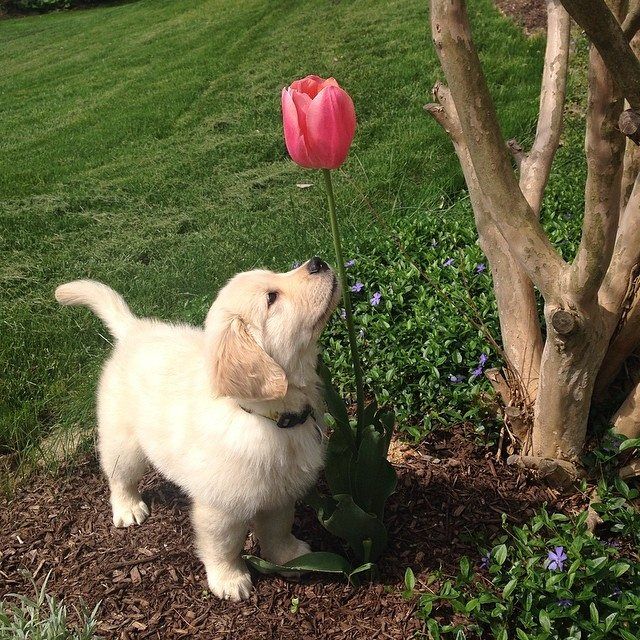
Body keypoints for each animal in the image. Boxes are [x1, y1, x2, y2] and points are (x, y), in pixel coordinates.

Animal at [55, 256, 340, 600]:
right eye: (271, 298)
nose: (318, 262)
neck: (266, 417)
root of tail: (134, 330)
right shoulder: (221, 508)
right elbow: (223, 546)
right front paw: (229, 580)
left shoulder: (280, 493)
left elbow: (279, 528)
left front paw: (290, 558)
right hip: (124, 441)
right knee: (118, 475)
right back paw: (127, 508)